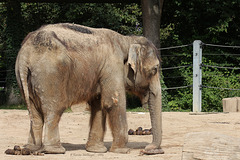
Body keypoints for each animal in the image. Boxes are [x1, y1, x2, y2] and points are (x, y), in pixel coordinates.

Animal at [15, 23, 164, 154]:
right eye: (155, 69)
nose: (147, 148)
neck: (126, 40)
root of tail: (25, 53)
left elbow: (98, 105)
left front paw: (97, 150)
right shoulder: (112, 66)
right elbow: (114, 103)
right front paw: (123, 151)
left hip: (26, 79)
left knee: (35, 114)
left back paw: (32, 148)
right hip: (50, 75)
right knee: (53, 110)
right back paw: (55, 150)